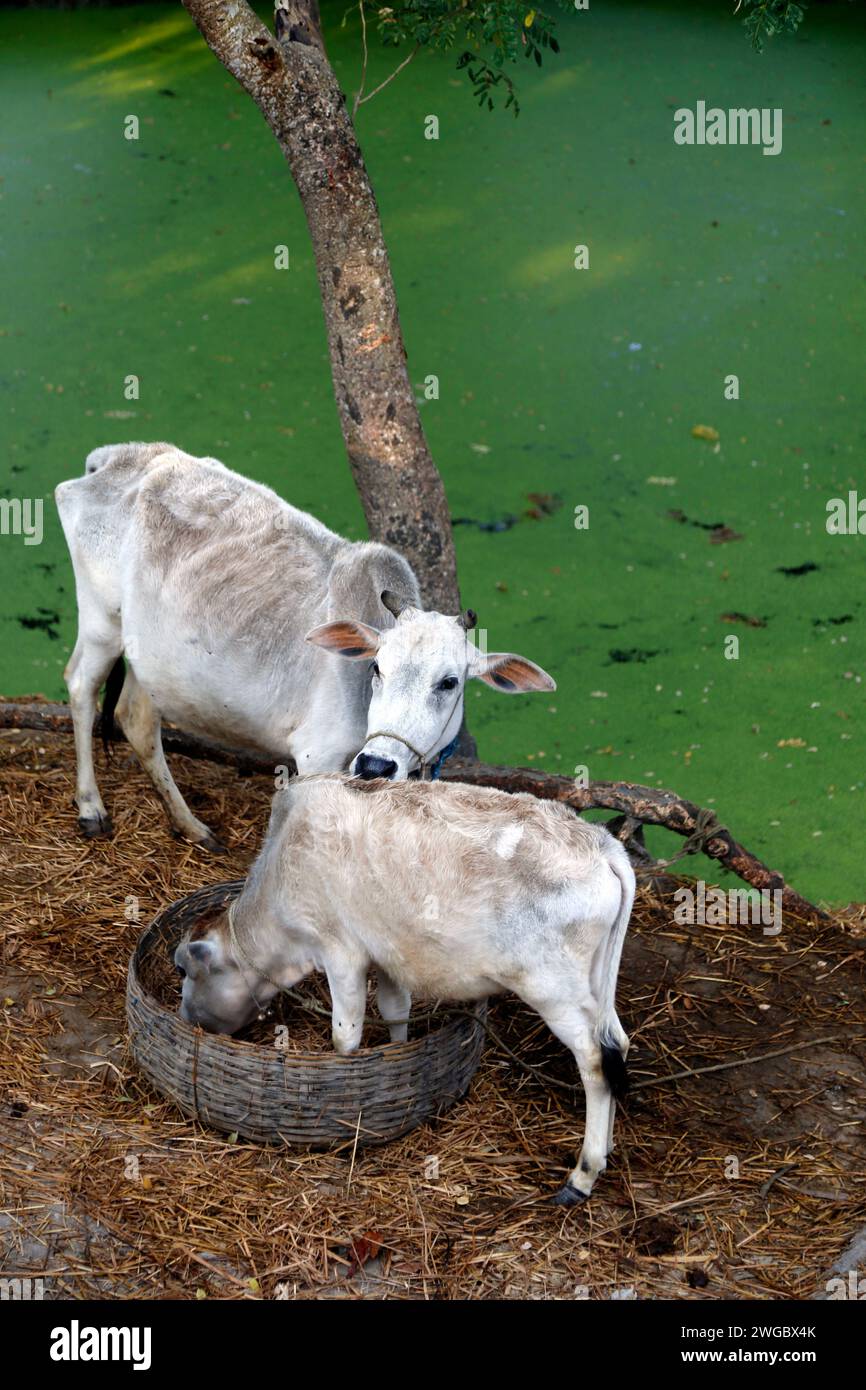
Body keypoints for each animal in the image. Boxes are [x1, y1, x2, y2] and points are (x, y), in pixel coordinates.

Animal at [55, 444, 556, 845]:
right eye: (377, 668)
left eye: (449, 682)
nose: (376, 765)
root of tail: (115, 458)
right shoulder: (317, 757)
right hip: (102, 619)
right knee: (80, 686)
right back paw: (91, 809)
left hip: (152, 657)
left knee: (135, 719)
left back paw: (192, 827)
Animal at [176, 772, 636, 1206]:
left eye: (184, 971)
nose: (185, 1016)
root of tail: (602, 845)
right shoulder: (388, 955)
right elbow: (395, 1011)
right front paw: (399, 1059)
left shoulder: (341, 951)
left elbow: (345, 1035)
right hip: (596, 985)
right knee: (617, 1043)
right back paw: (608, 1146)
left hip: (554, 991)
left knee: (595, 1061)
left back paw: (583, 1174)